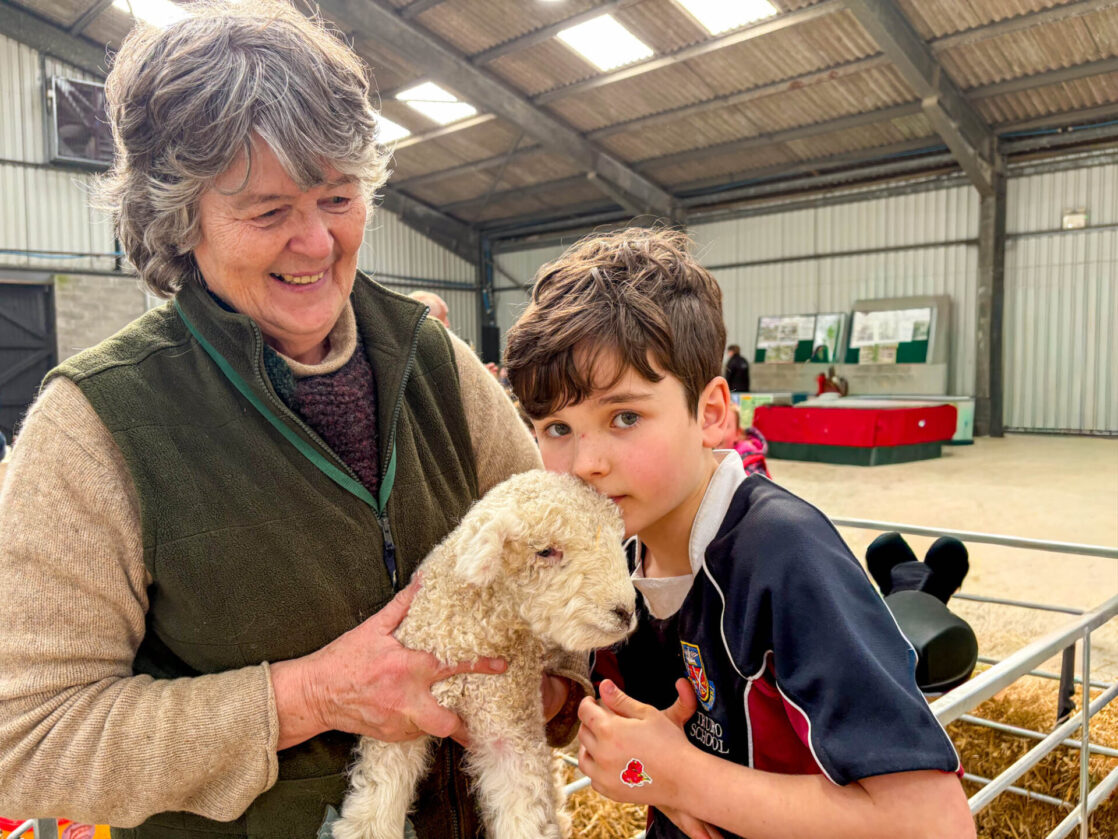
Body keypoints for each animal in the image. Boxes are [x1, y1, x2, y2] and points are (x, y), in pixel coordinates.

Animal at [334, 469, 637, 839]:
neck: (470, 637)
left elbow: (522, 811)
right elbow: (381, 787)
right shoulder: (401, 712)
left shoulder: (510, 727)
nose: (625, 611)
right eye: (545, 551)